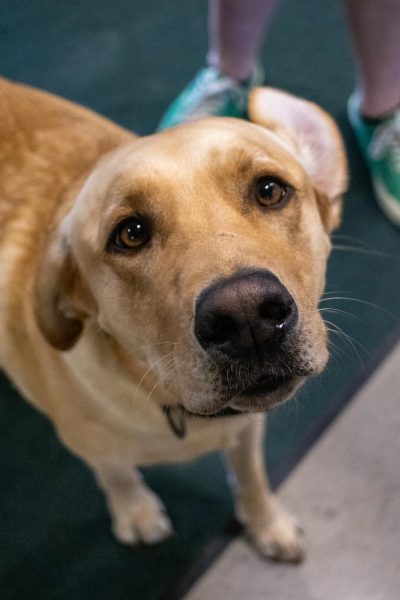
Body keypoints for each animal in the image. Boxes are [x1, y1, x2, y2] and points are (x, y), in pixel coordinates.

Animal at [0, 78, 346, 564]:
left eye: (269, 190)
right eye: (130, 234)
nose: (245, 317)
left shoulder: (247, 428)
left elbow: (252, 477)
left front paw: (267, 523)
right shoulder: (88, 444)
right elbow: (117, 475)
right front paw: (135, 511)